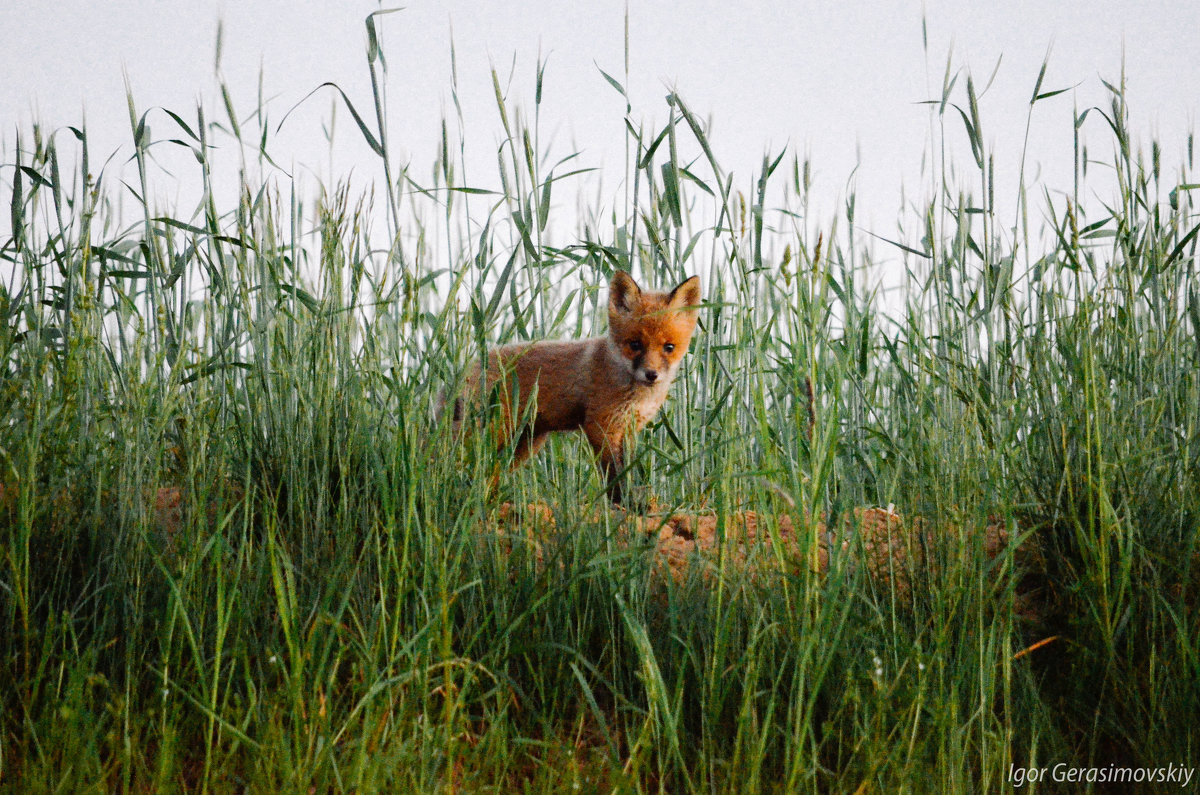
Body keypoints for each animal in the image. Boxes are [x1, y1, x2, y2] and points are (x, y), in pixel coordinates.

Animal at [451, 271, 700, 506]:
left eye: (669, 347)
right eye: (635, 344)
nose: (651, 374)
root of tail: (473, 363)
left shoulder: (628, 430)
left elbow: (626, 471)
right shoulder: (600, 426)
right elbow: (614, 473)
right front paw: (625, 504)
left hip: (522, 444)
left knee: (489, 472)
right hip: (490, 431)